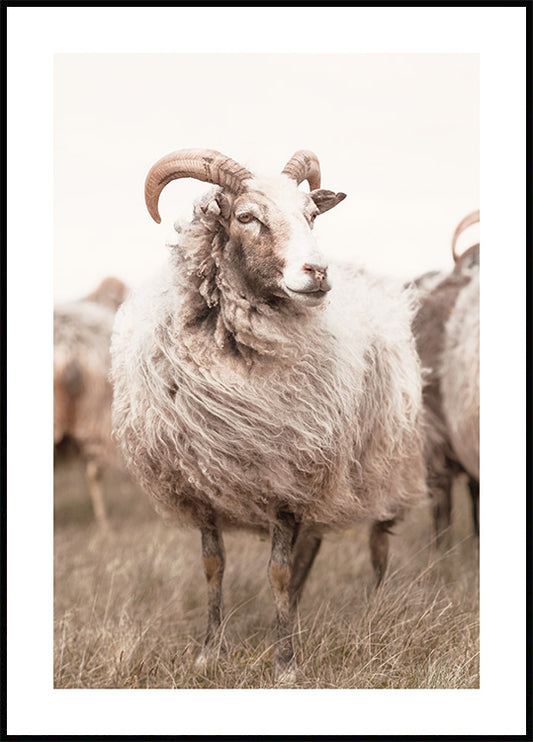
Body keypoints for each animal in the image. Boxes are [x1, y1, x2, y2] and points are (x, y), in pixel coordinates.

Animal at [110, 148, 426, 682]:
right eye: (246, 217)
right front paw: (209, 651)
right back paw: (295, 612)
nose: (317, 272)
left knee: (377, 539)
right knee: (310, 548)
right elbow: (214, 566)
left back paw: (374, 605)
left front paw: (285, 665)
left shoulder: (287, 481)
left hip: (382, 458)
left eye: (312, 215)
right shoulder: (201, 486)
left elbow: (278, 570)